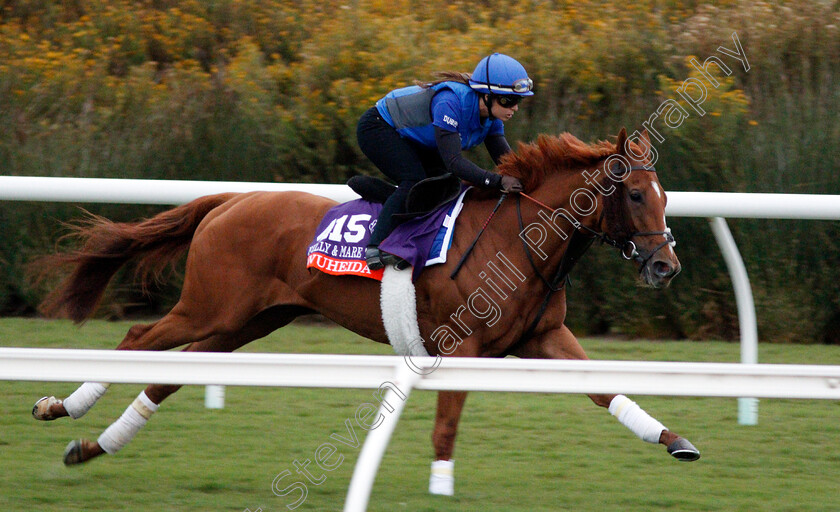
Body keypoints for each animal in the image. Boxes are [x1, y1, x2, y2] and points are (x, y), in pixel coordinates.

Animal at [32, 128, 700, 496]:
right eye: (634, 194)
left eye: (665, 195)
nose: (666, 265)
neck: (520, 237)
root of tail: (229, 201)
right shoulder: (462, 345)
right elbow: (448, 420)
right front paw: (440, 484)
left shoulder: (544, 336)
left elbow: (603, 390)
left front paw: (674, 440)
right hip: (208, 309)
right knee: (138, 336)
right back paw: (61, 406)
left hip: (244, 322)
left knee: (168, 376)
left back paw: (92, 446)